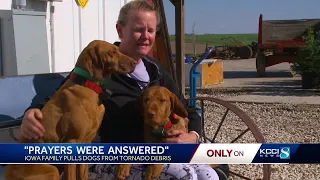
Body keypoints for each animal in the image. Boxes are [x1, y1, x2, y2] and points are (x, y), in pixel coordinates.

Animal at [5, 39, 137, 180]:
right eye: (112, 52)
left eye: (118, 50)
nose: (135, 62)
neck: (88, 86)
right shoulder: (71, 141)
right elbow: (72, 176)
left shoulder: (86, 143)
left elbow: (83, 174)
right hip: (52, 170)